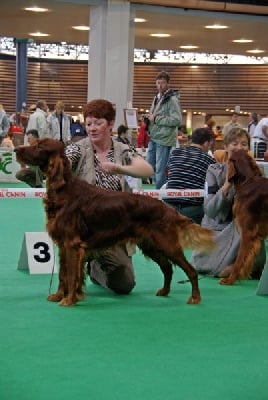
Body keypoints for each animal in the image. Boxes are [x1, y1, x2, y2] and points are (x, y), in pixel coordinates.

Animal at [15, 138, 216, 306]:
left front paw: (69, 299)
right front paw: (58, 295)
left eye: (39, 146)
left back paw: (195, 297)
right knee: (167, 268)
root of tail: (168, 209)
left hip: (167, 244)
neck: (64, 190)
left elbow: (71, 275)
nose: (16, 149)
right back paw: (165, 291)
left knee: (190, 270)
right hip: (151, 244)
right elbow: (63, 275)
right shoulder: (64, 246)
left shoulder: (72, 244)